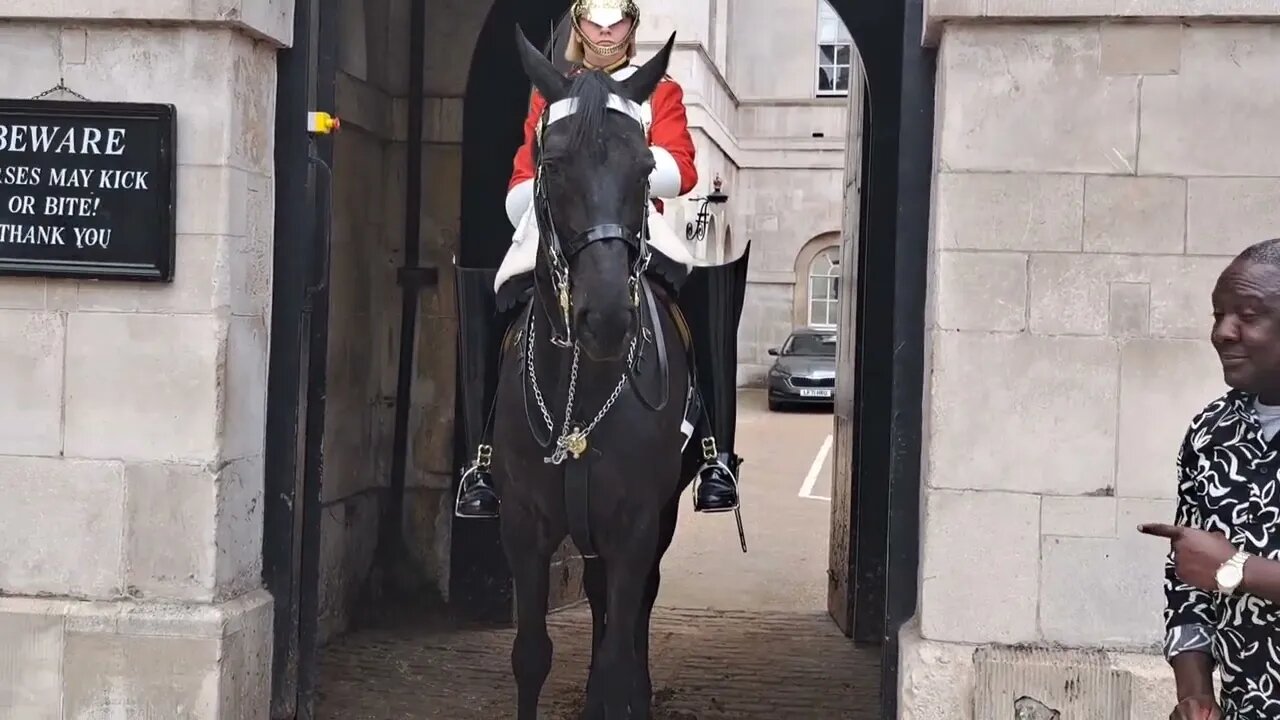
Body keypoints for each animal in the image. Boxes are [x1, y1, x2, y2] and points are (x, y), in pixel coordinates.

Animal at [491, 28, 706, 717]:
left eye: (645, 169)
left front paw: (623, 692)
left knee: (635, 608)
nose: (607, 318)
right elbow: (531, 655)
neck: (580, 390)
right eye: (553, 165)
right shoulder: (524, 525)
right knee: (598, 593)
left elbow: (617, 653)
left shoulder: (637, 521)